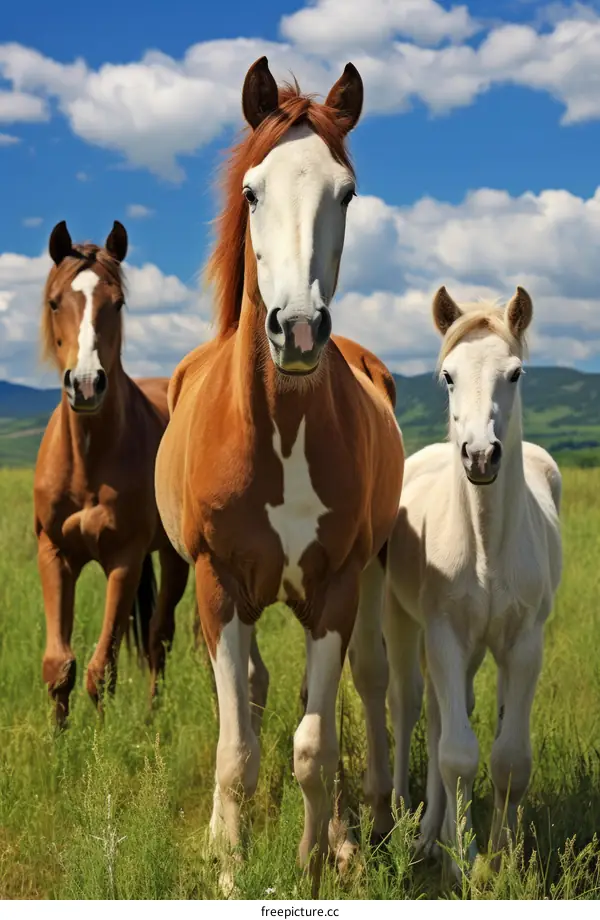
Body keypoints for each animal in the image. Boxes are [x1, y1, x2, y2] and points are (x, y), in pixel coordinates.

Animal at [34, 220, 190, 727]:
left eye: (117, 303)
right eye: (54, 301)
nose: (86, 385)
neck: (87, 459)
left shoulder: (124, 559)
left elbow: (102, 670)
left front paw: (101, 744)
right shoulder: (54, 554)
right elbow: (59, 667)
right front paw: (58, 742)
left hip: (173, 557)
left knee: (160, 636)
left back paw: (153, 715)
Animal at [154, 56, 405, 886]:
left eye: (346, 191)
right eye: (252, 191)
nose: (296, 329)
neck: (284, 435)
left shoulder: (335, 587)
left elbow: (313, 745)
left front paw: (315, 859)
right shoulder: (217, 583)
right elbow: (238, 748)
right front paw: (229, 867)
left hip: (368, 575)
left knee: (368, 683)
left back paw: (363, 826)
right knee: (254, 696)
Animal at [382, 286, 562, 877]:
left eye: (516, 373)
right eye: (447, 375)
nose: (480, 455)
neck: (485, 547)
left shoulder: (525, 643)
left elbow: (509, 758)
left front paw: (503, 856)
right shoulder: (443, 634)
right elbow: (458, 755)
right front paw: (462, 861)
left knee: (451, 712)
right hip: (402, 620)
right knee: (409, 706)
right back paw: (409, 824)